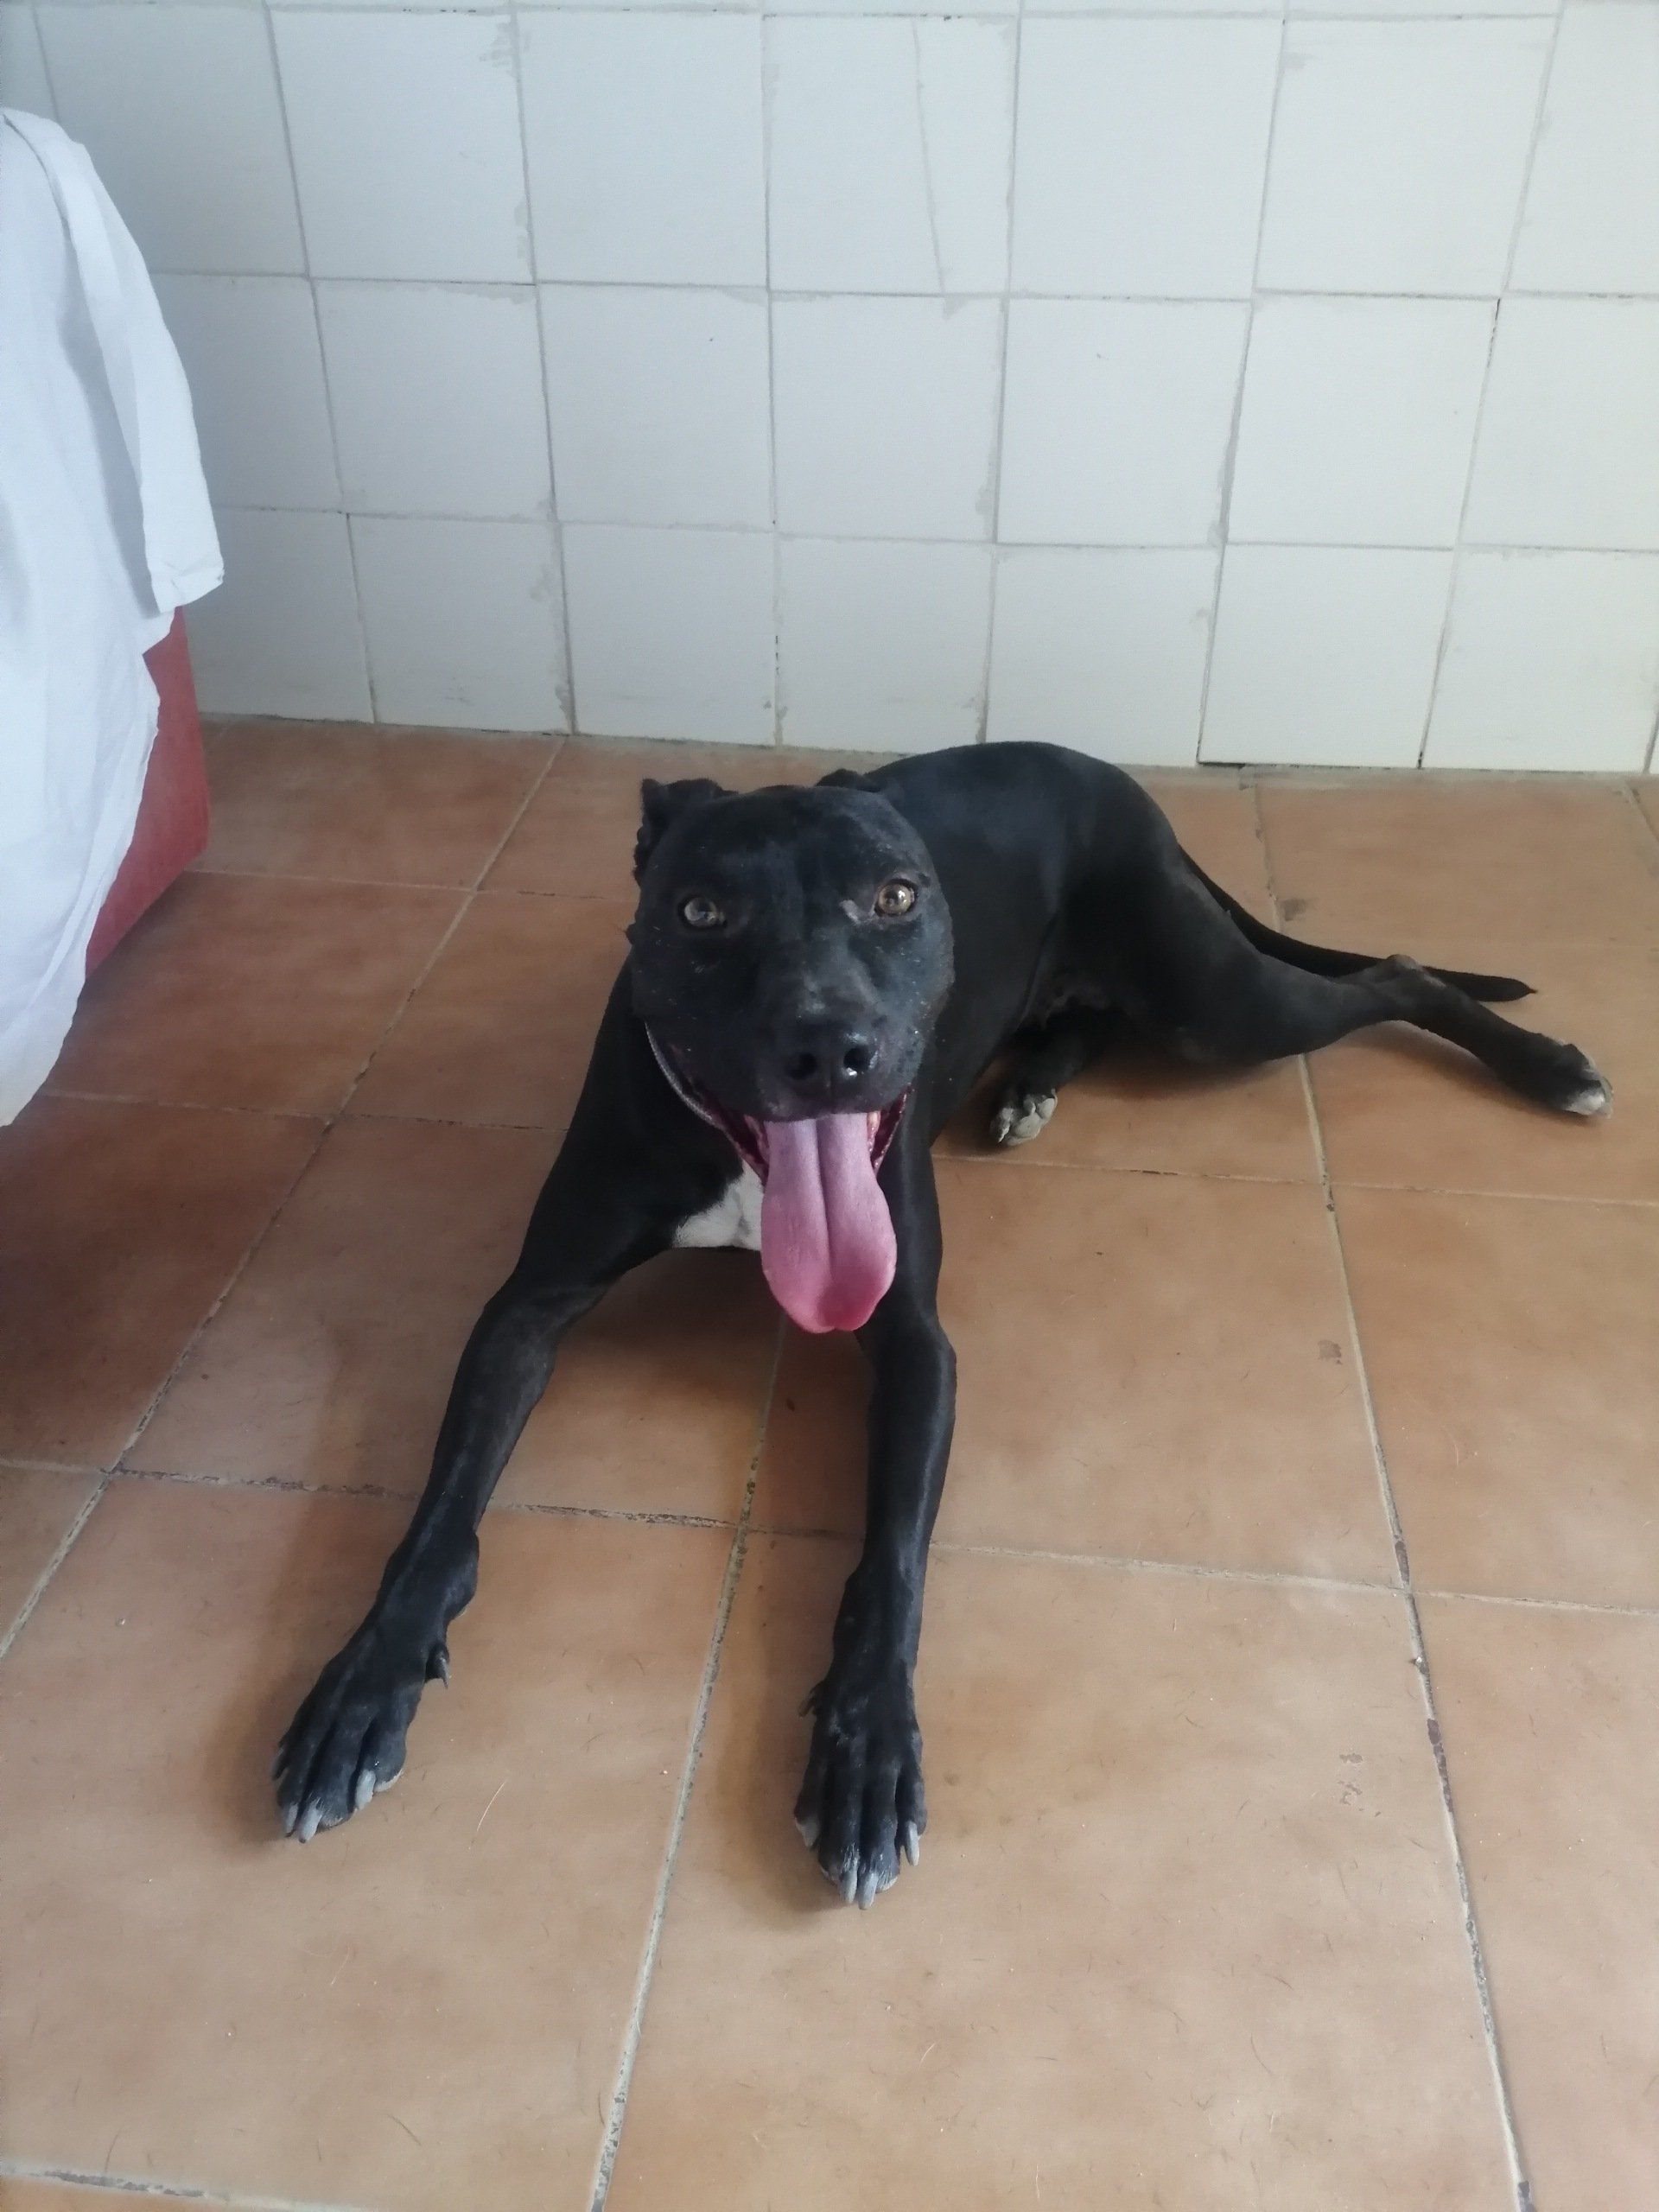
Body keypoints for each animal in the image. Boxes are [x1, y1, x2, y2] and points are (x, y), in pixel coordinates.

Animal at [275, 743, 1609, 1906]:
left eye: (894, 897)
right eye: (701, 912)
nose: (830, 1047)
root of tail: (1103, 770)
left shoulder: (917, 1344)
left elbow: (892, 1563)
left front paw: (867, 1752)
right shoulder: (525, 1309)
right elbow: (437, 1521)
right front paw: (365, 1681)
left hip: (1219, 1002)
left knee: (1394, 975)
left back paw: (1546, 1065)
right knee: (1104, 1017)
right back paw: (1029, 1087)